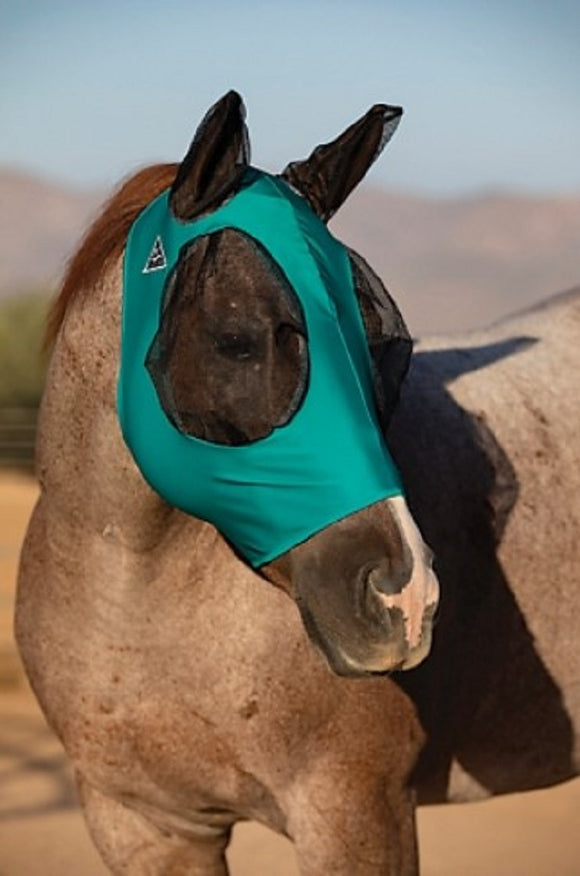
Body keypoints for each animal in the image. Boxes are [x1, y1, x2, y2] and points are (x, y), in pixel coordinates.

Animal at [15, 89, 579, 874]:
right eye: (237, 341)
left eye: (392, 350)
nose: (405, 598)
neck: (137, 614)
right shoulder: (145, 826)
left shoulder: (354, 813)